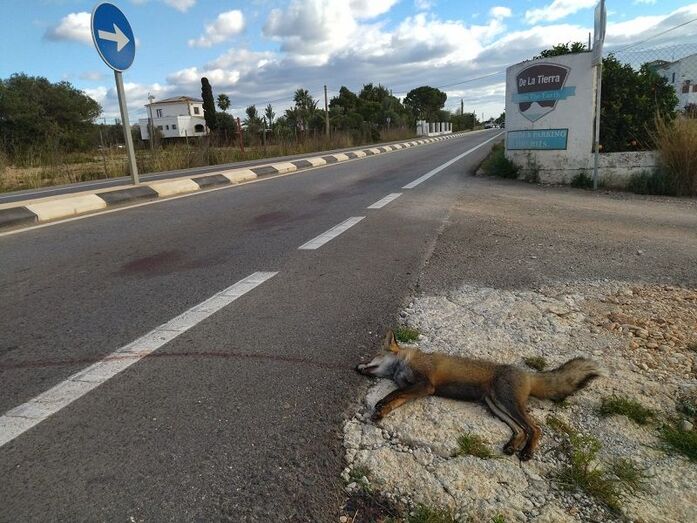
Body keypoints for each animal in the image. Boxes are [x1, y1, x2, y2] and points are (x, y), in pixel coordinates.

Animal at [356, 330, 603, 460]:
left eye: (372, 357)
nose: (357, 366)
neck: (403, 365)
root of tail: (527, 374)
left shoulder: (425, 385)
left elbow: (394, 393)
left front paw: (381, 404)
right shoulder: (415, 388)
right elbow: (396, 399)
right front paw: (381, 413)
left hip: (508, 403)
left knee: (535, 428)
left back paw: (527, 452)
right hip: (497, 406)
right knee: (520, 430)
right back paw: (512, 446)